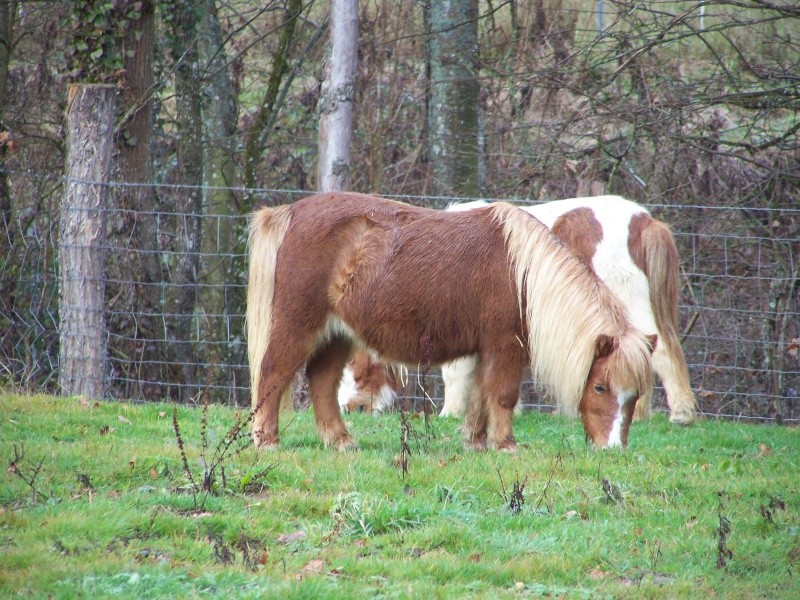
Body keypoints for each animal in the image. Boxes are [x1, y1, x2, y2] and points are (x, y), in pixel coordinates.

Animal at [247, 192, 652, 450]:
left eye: (635, 395)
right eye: (599, 387)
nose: (613, 449)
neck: (521, 272)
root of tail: (291, 212)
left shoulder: (484, 349)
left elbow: (479, 394)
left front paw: (476, 441)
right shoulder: (505, 345)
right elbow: (503, 395)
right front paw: (505, 445)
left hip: (337, 334)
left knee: (322, 382)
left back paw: (341, 441)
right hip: (298, 323)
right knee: (272, 374)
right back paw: (267, 441)